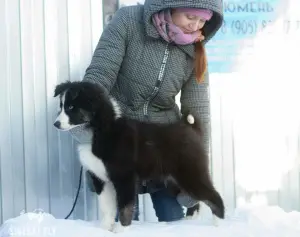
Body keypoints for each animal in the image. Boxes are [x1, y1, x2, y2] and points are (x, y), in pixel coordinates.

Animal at [53, 81, 225, 231]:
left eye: (71, 107)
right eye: (61, 106)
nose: (55, 124)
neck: (101, 129)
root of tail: (190, 129)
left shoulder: (124, 177)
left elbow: (124, 207)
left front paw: (122, 230)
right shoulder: (100, 178)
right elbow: (107, 208)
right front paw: (104, 229)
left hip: (190, 173)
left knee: (214, 197)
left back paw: (219, 226)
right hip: (175, 180)